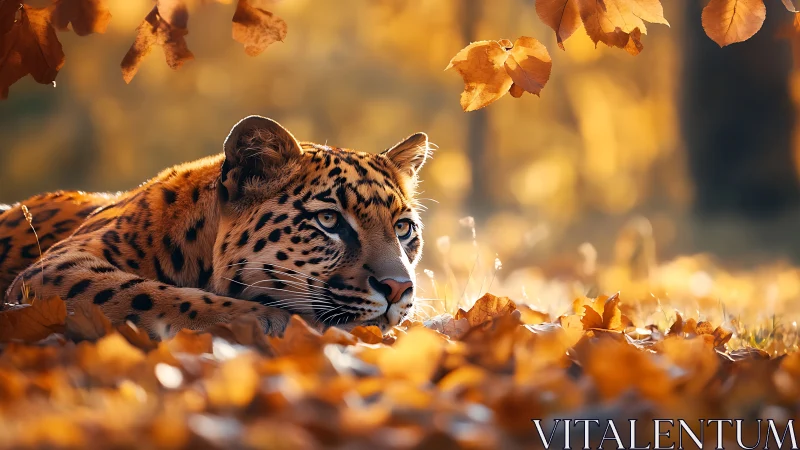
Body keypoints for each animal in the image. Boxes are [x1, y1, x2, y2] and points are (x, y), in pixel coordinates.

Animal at [0, 116, 430, 337]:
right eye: (329, 220)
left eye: (403, 228)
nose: (399, 288)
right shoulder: (53, 267)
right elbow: (148, 295)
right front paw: (270, 321)